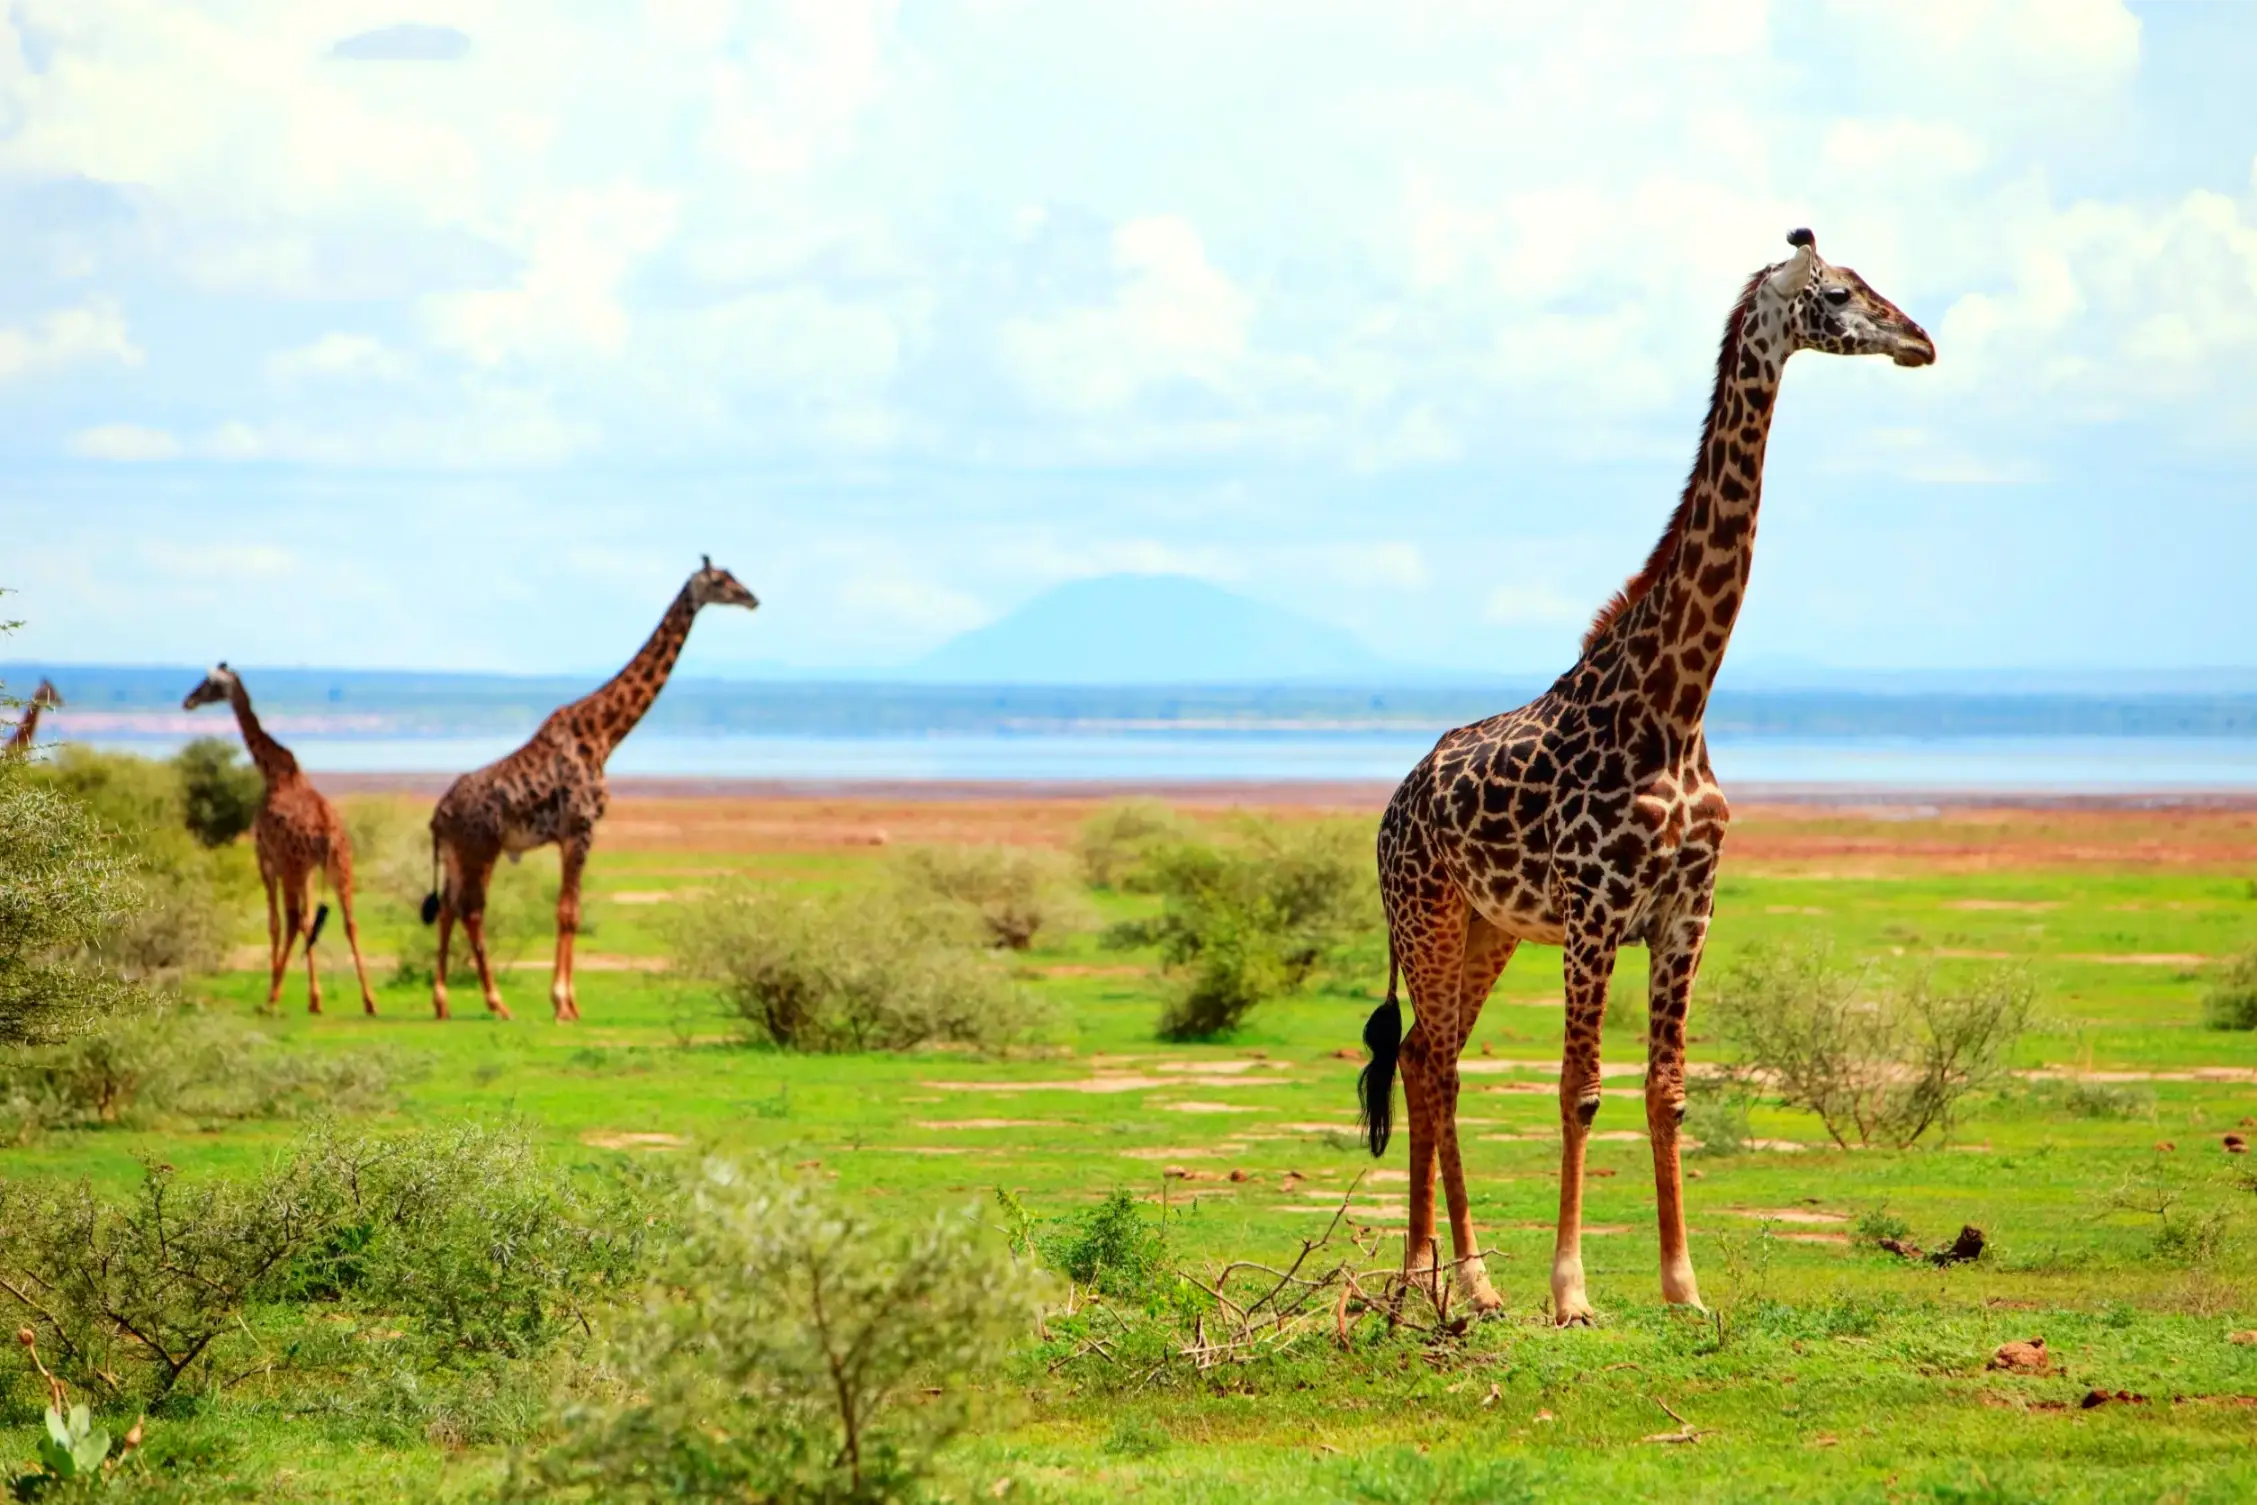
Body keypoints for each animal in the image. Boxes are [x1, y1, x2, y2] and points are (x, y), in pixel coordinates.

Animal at [183, 664, 379, 1014]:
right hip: (340, 866)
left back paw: (271, 996)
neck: (273, 772)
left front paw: (292, 990)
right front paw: (315, 998)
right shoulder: (308, 871)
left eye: (209, 683)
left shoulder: (265, 857)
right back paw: (369, 1001)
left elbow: (275, 923)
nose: (187, 701)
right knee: (349, 922)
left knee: (290, 921)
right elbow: (310, 920)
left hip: (292, 867)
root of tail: (327, 832)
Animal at [421, 556, 759, 1023]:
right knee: (472, 911)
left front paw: (569, 1002)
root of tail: (438, 815)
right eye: (722, 581)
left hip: (458, 852)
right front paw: (563, 1004)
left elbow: (569, 910)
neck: (605, 734)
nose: (752, 598)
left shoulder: (571, 835)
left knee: (449, 910)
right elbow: (568, 912)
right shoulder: (581, 829)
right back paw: (497, 1003)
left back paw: (442, 1002)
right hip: (481, 848)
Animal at [1359, 230, 1933, 1325]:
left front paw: (1681, 1287)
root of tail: (1392, 802)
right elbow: (1579, 1088)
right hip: (1427, 914)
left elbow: (1666, 1091)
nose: (1920, 340)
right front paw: (1571, 1294)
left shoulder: (1686, 910)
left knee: (1428, 1057)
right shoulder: (1594, 908)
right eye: (1841, 293)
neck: (1676, 704)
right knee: (1429, 1060)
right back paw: (1418, 1279)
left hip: (1491, 928)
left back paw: (1472, 1281)